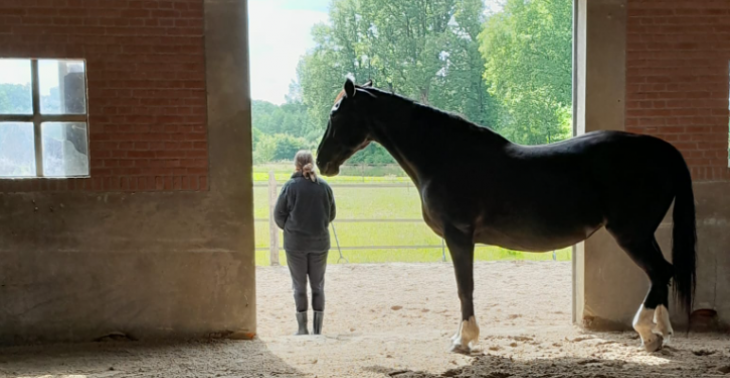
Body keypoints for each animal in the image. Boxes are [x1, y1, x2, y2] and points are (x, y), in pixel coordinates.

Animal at [318, 79, 692, 354]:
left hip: (631, 233)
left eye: (336, 114)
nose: (322, 161)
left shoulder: (458, 236)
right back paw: (662, 332)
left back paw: (647, 334)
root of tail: (663, 150)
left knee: (660, 272)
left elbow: (464, 287)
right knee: (662, 273)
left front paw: (463, 340)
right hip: (643, 233)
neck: (445, 156)